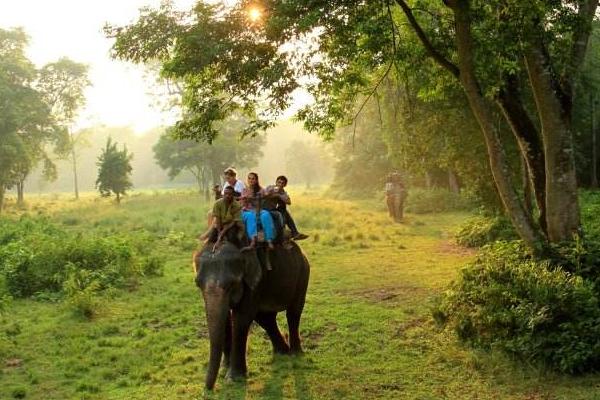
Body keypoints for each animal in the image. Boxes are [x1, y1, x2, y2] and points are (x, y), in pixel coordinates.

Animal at [196, 241, 312, 390]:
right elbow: (227, 318)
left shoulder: (256, 283)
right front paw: (225, 367)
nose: (208, 389)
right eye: (197, 284)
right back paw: (282, 352)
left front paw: (233, 378)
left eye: (231, 284)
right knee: (266, 318)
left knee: (293, 312)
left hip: (302, 274)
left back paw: (295, 354)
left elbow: (241, 317)